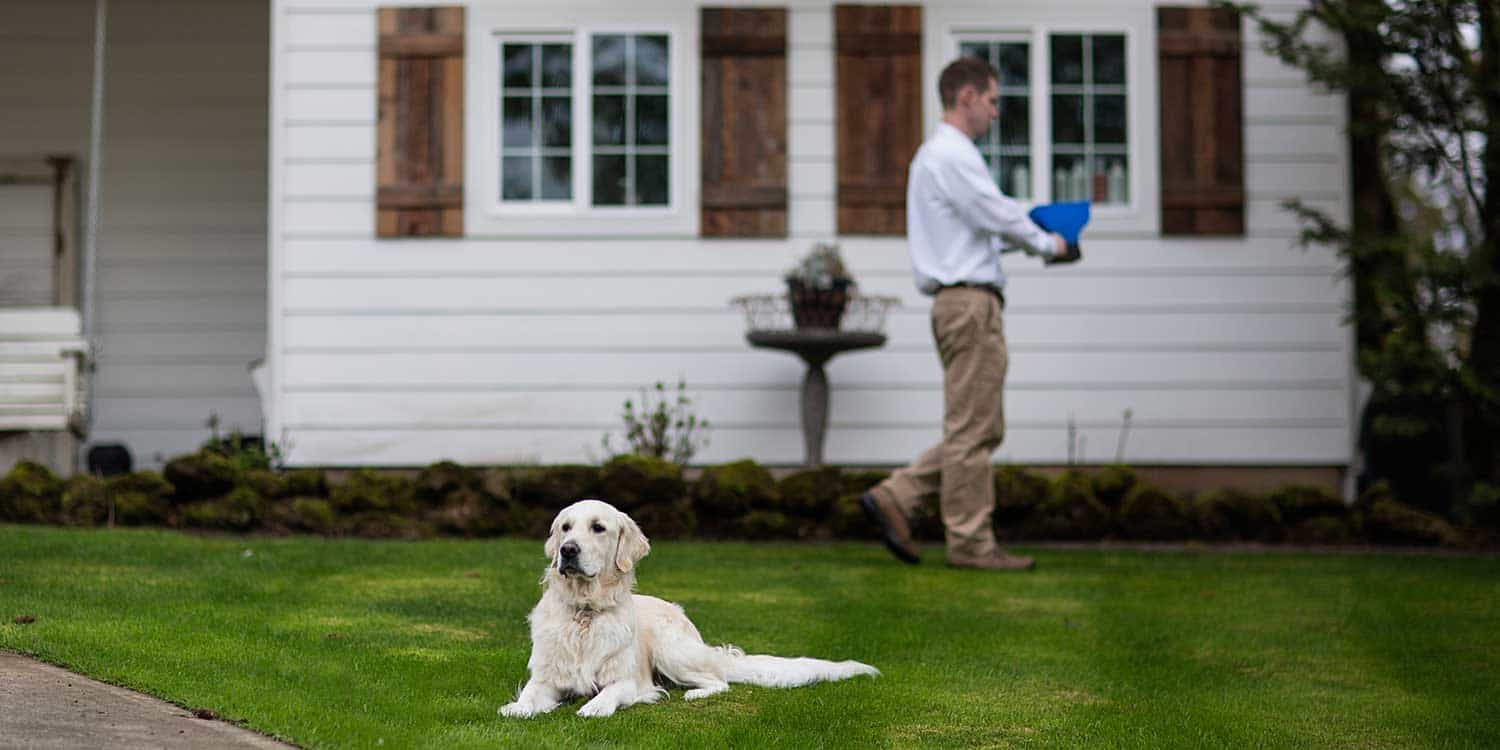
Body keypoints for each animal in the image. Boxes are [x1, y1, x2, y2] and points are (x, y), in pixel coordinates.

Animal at [504, 498, 876, 714]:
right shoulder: (547, 677)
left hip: (672, 651)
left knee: (719, 681)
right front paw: (518, 707)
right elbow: (530, 696)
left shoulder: (631, 681)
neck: (585, 612)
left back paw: (695, 694)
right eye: (565, 527)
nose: (567, 550)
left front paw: (596, 706)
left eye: (598, 528)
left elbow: (612, 692)